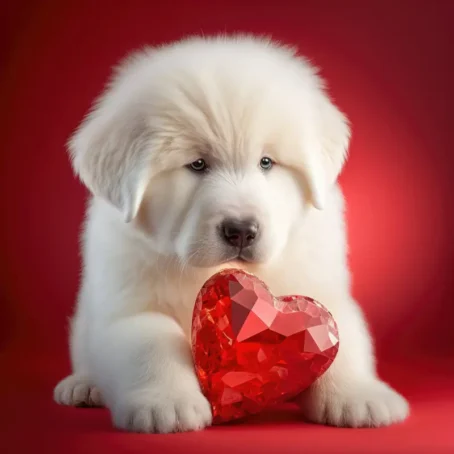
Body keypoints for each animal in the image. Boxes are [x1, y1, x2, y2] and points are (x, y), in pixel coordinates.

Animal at [55, 34, 410, 432]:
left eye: (266, 162)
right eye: (197, 164)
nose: (241, 231)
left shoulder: (320, 285)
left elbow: (339, 337)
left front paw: (359, 397)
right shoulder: (128, 305)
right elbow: (153, 342)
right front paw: (168, 404)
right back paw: (82, 386)